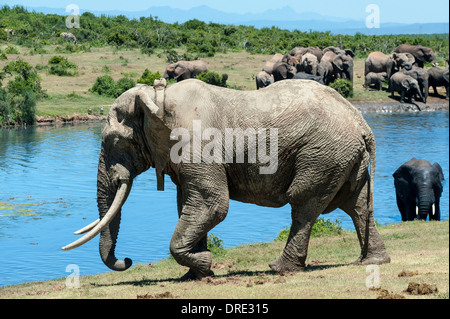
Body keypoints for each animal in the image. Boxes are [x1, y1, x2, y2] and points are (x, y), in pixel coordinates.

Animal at [62, 78, 390, 280]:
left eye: (116, 141)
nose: (127, 261)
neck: (158, 97)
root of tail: (363, 124)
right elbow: (187, 204)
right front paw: (195, 275)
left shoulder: (197, 144)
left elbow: (213, 204)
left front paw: (205, 265)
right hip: (342, 157)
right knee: (357, 205)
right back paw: (372, 262)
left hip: (323, 154)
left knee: (304, 204)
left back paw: (279, 269)